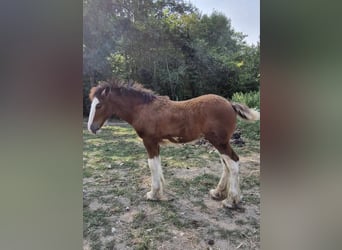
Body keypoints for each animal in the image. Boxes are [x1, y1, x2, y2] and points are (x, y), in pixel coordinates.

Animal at [87, 79, 260, 208]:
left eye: (99, 105)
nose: (91, 128)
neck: (143, 109)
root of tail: (230, 104)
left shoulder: (149, 141)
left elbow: (152, 165)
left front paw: (153, 194)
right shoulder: (155, 142)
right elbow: (157, 164)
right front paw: (159, 192)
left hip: (220, 142)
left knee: (233, 163)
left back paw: (231, 200)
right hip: (219, 142)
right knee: (226, 165)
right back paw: (218, 193)